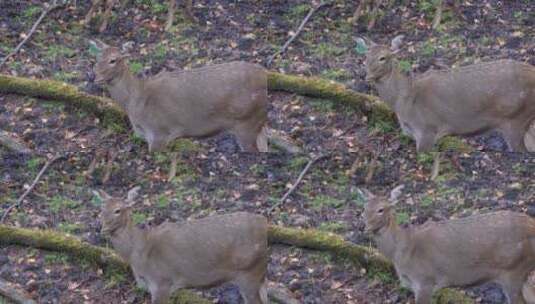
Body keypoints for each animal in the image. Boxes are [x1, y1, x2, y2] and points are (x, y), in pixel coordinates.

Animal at [91, 39, 272, 153]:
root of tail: (264, 76)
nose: (95, 76)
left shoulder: (160, 133)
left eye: (113, 60)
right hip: (257, 123)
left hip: (246, 122)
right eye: (97, 58)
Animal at [96, 188, 270, 304]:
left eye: (118, 210)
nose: (102, 229)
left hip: (250, 272)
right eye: (101, 209)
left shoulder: (162, 282)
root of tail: (264, 225)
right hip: (259, 276)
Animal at [358, 36, 535, 152]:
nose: (367, 76)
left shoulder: (427, 130)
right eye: (365, 56)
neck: (404, 102)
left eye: (383, 58)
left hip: (516, 118)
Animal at [362, 185, 535, 304]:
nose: (365, 227)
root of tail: (532, 223)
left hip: (514, 270)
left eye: (381, 209)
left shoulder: (425, 281)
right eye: (364, 208)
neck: (402, 253)